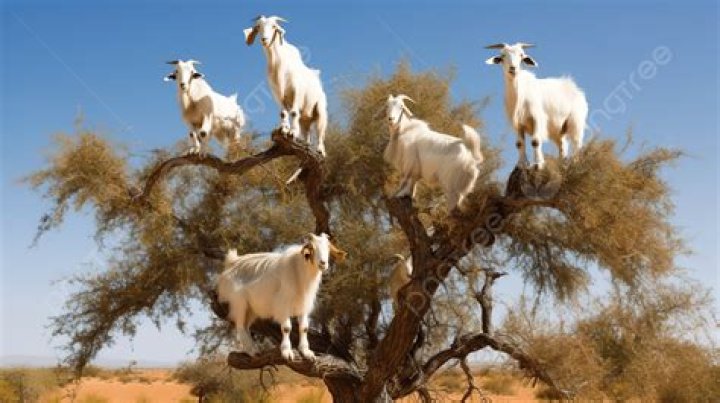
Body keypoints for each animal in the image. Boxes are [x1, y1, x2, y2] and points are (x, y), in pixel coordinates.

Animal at [217, 233, 347, 361]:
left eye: (328, 248)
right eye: (312, 248)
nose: (323, 263)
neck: (299, 271)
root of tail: (232, 262)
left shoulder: (304, 306)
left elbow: (304, 328)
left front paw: (306, 352)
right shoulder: (283, 305)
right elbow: (286, 328)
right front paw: (286, 351)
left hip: (252, 309)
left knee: (245, 326)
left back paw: (254, 349)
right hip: (239, 303)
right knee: (239, 325)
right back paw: (252, 351)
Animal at [244, 15, 328, 156]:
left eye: (274, 26)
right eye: (259, 27)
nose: (264, 39)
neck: (279, 66)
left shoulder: (296, 92)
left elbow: (293, 112)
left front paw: (292, 132)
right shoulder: (276, 94)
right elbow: (283, 113)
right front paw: (284, 129)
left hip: (321, 109)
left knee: (320, 131)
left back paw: (320, 150)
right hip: (305, 119)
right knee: (307, 133)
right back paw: (306, 145)